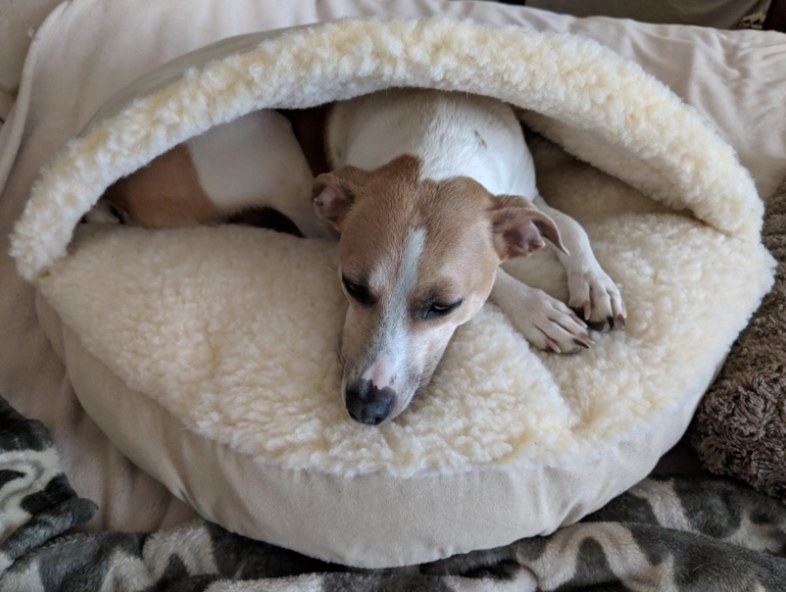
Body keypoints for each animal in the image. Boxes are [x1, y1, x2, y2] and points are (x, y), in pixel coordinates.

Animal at [87, 90, 624, 426]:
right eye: (352, 286)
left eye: (442, 307)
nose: (366, 409)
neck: (438, 149)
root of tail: (115, 190)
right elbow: (501, 281)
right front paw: (540, 312)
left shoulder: (527, 197)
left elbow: (570, 228)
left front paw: (595, 283)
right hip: (267, 140)